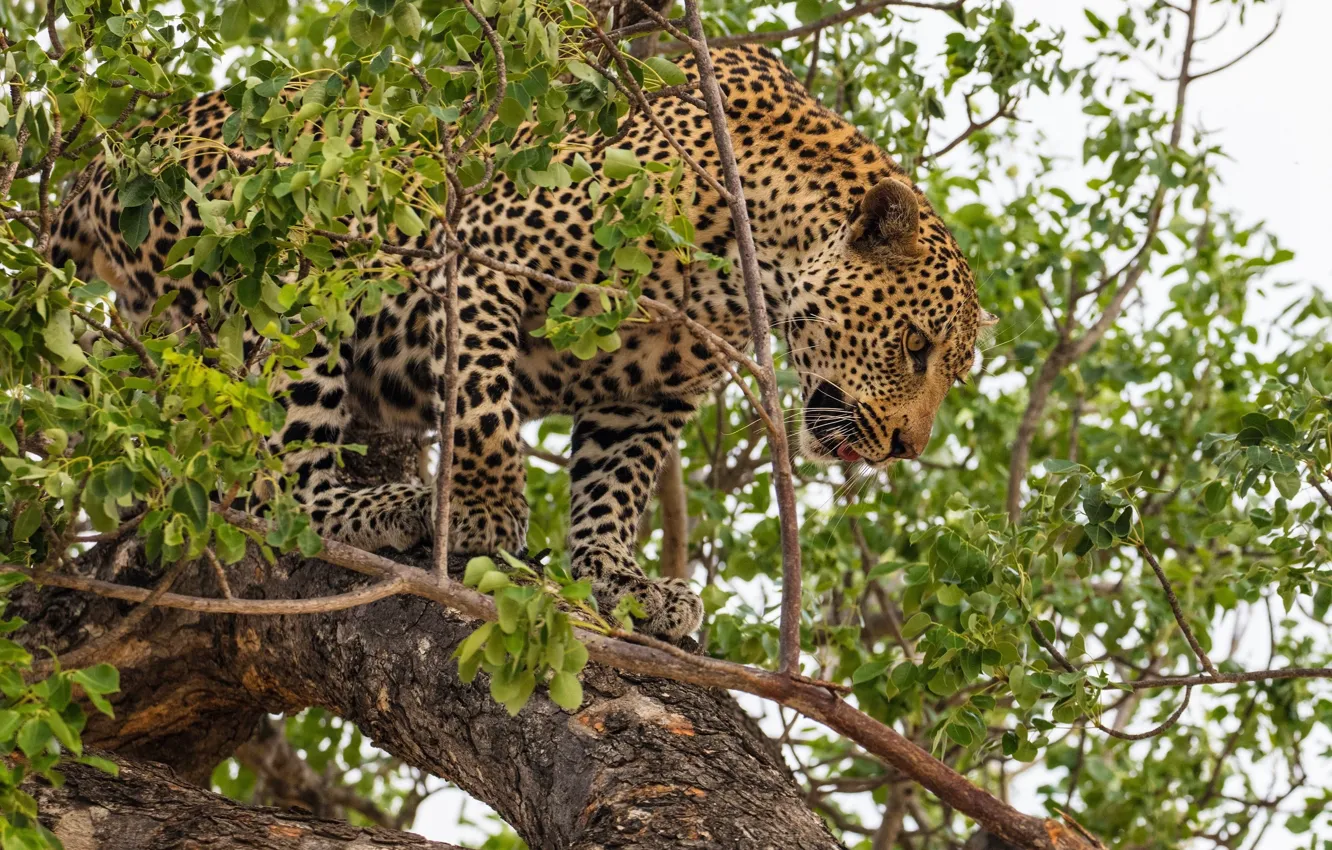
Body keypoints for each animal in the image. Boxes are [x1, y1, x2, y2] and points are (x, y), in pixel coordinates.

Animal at [53, 45, 994, 640]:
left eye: (948, 368)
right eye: (914, 346)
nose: (905, 447)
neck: (747, 263)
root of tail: (100, 166)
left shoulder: (645, 392)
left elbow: (613, 489)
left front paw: (622, 580)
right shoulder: (478, 253)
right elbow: (483, 408)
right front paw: (480, 514)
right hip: (287, 264)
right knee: (271, 488)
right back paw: (395, 508)